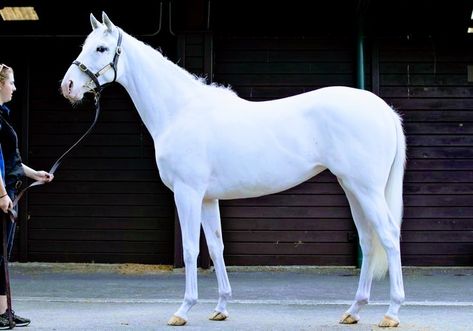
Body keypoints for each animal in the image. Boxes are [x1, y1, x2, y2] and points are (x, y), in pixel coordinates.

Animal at [60, 11, 406, 328]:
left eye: (102, 48)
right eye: (84, 45)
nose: (68, 86)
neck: (180, 111)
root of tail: (383, 110)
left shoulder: (187, 193)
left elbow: (190, 249)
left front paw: (183, 310)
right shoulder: (207, 198)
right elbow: (216, 248)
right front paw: (221, 307)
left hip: (366, 189)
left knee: (388, 235)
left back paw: (391, 312)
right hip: (352, 188)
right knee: (368, 239)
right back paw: (353, 310)